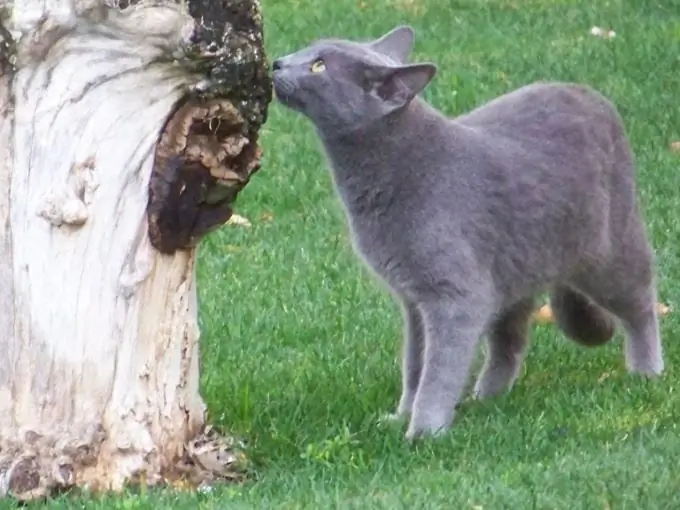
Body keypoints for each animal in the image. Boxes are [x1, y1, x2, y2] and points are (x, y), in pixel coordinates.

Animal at [270, 24, 664, 438]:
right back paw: (488, 395)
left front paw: (424, 431)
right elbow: (414, 363)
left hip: (608, 250)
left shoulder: (454, 295)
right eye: (309, 49)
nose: (276, 62)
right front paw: (401, 416)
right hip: (513, 267)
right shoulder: (414, 300)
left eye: (319, 66)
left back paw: (646, 370)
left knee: (640, 300)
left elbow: (438, 370)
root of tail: (593, 95)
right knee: (511, 338)